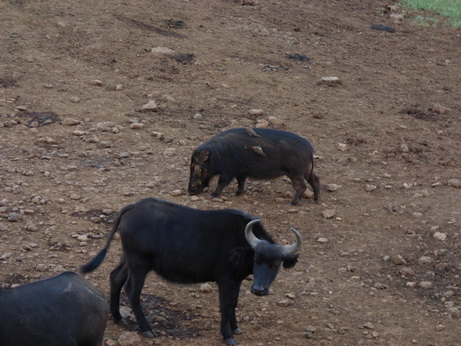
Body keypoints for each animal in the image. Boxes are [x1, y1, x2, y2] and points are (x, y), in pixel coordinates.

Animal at [80, 199, 302, 344]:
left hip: (127, 258)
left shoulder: (236, 280)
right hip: (139, 264)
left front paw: (236, 327)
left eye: (276, 264)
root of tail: (133, 207)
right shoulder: (226, 280)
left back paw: (118, 318)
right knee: (132, 291)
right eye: (256, 259)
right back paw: (147, 329)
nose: (258, 290)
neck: (240, 241)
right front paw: (228, 335)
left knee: (115, 278)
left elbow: (234, 303)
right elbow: (226, 304)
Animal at [187, 127, 320, 204]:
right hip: (306, 171)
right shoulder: (240, 172)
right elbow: (241, 183)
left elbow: (221, 182)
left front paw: (211, 195)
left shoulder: (229, 171)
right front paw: (236, 194)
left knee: (302, 186)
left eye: (197, 167)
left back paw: (292, 203)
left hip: (295, 172)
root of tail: (309, 150)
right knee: (315, 179)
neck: (217, 155)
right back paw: (315, 200)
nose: (189, 192)